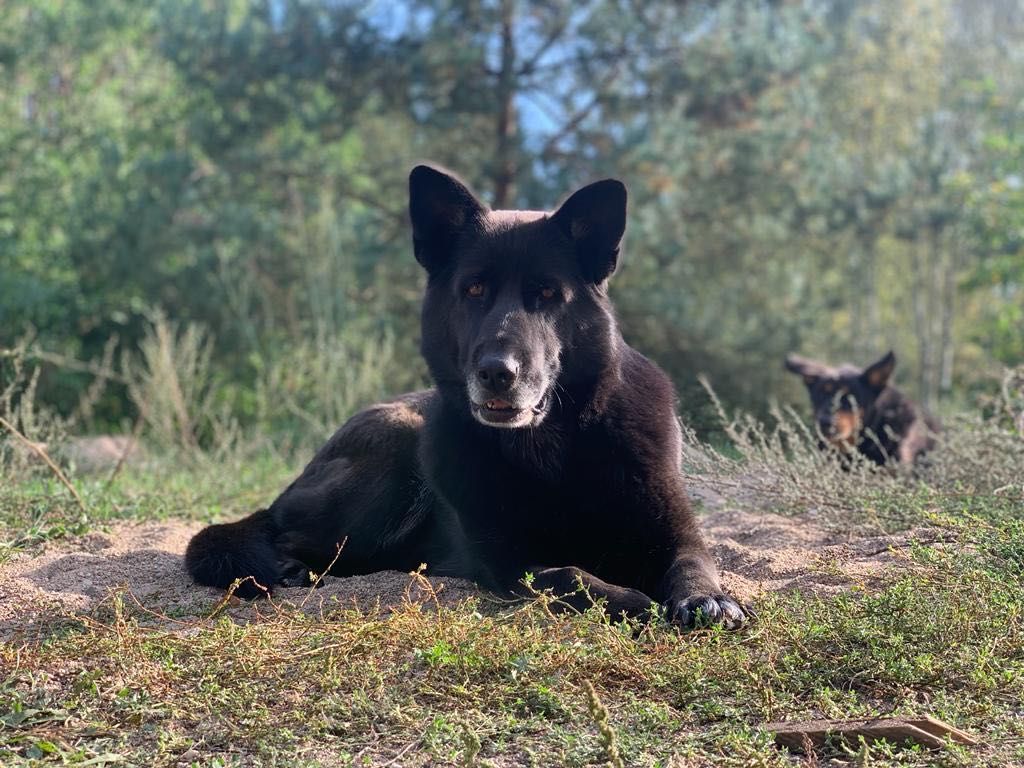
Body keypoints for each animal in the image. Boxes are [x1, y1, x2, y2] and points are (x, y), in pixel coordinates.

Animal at [184, 165, 745, 626]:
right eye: (474, 290)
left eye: (547, 293)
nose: (497, 372)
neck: (553, 451)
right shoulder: (509, 562)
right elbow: (569, 575)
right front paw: (633, 601)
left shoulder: (676, 533)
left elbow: (694, 563)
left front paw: (707, 600)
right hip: (393, 450)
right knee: (284, 535)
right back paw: (288, 565)